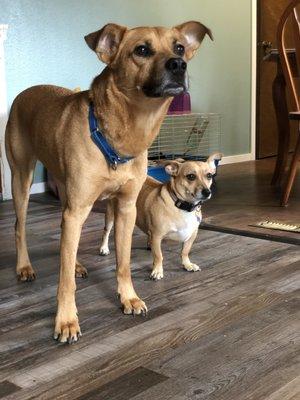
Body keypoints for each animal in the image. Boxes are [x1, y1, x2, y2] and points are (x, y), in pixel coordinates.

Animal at [4, 20, 211, 342]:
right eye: (142, 50)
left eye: (179, 47)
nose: (179, 64)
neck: (125, 131)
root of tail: (24, 92)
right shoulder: (78, 209)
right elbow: (64, 281)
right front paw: (66, 320)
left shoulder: (125, 208)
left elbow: (122, 263)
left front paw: (129, 298)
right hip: (22, 179)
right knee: (19, 227)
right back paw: (24, 266)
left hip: (67, 195)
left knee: (65, 239)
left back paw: (75, 263)